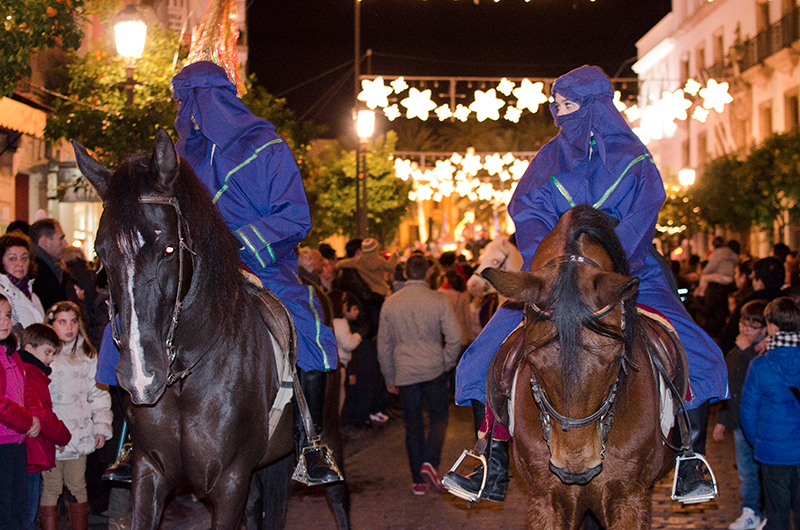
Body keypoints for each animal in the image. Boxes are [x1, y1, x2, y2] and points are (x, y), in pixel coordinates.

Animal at [72, 129, 349, 530]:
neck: (185, 378)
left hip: (328, 436)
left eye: (169, 248)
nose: (141, 376)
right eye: (101, 252)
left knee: (339, 499)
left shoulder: (229, 480)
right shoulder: (149, 472)